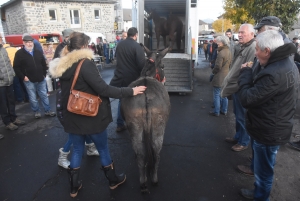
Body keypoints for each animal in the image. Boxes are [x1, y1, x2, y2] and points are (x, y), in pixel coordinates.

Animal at [120, 44, 170, 193]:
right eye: (163, 66)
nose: (165, 81)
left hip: (135, 126)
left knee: (141, 154)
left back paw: (143, 181)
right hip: (159, 126)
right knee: (156, 152)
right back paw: (154, 178)